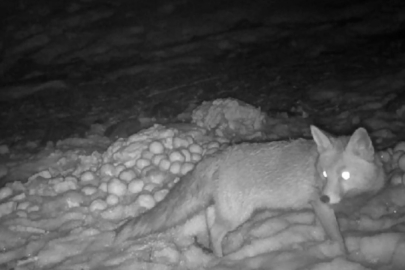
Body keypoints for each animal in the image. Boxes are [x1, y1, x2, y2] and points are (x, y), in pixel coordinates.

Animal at [113, 125, 386, 256]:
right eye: (325, 175)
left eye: (345, 176)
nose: (326, 196)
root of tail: (217, 155)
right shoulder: (320, 206)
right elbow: (338, 237)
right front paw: (345, 256)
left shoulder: (323, 207)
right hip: (238, 214)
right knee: (216, 231)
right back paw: (221, 260)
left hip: (223, 208)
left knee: (210, 225)